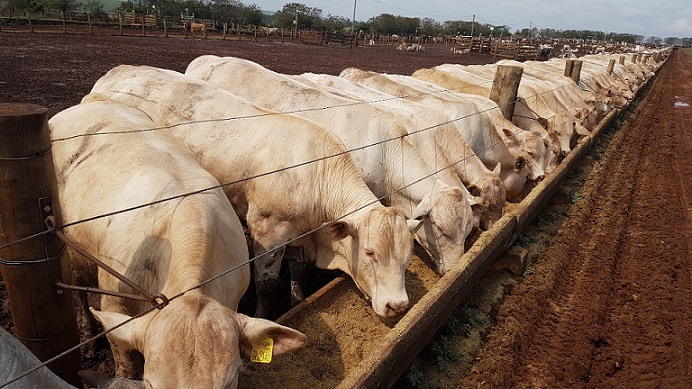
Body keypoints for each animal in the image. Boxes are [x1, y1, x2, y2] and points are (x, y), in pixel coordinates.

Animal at [90, 65, 416, 316]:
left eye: (408, 254)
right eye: (370, 252)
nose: (398, 306)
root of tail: (116, 71)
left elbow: (297, 269)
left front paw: (297, 298)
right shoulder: (267, 231)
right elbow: (266, 285)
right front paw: (265, 314)